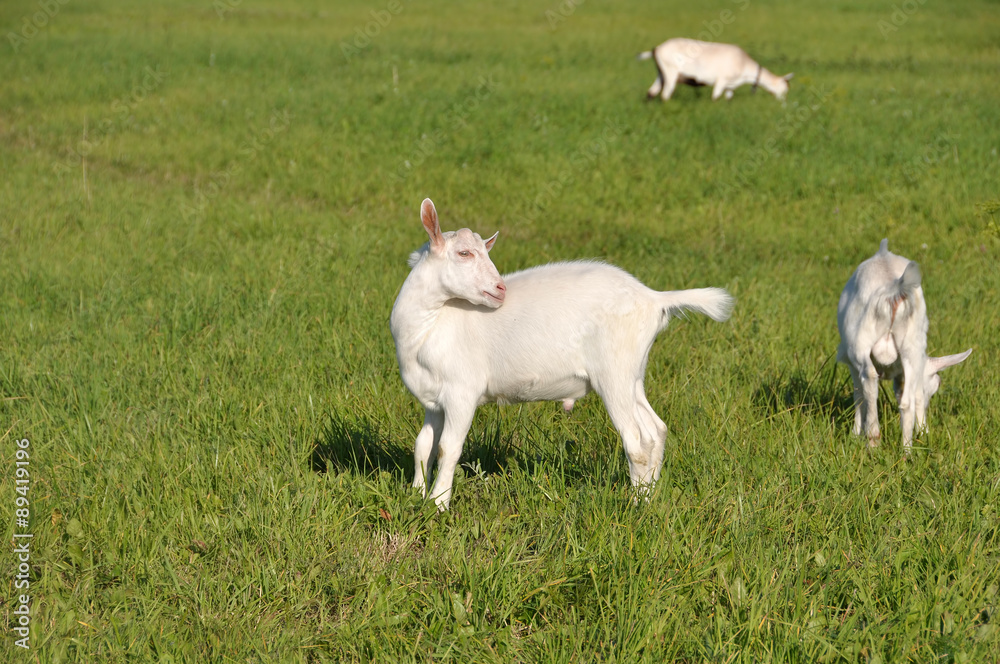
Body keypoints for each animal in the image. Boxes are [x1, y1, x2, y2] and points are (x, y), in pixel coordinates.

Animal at [390, 198, 736, 508]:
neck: (431, 324)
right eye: (464, 252)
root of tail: (653, 299)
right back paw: (648, 498)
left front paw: (438, 504)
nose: (501, 289)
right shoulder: (432, 399)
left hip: (613, 373)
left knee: (637, 441)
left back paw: (635, 507)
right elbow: (423, 446)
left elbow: (448, 448)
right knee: (655, 430)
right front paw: (415, 495)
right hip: (632, 373)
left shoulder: (462, 391)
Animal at [636, 38, 792, 101]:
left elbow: (728, 100)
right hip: (670, 72)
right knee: (665, 95)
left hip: (661, 73)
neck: (744, 64)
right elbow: (715, 98)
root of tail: (657, 49)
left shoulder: (730, 86)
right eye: (784, 90)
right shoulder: (721, 81)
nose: (783, 103)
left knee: (651, 92)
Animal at [836, 239, 968, 452]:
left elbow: (858, 395)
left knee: (869, 380)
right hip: (912, 347)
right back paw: (906, 452)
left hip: (859, 345)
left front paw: (855, 434)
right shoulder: (903, 375)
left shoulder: (850, 362)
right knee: (906, 403)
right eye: (934, 387)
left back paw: (873, 439)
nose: (924, 431)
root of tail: (894, 290)